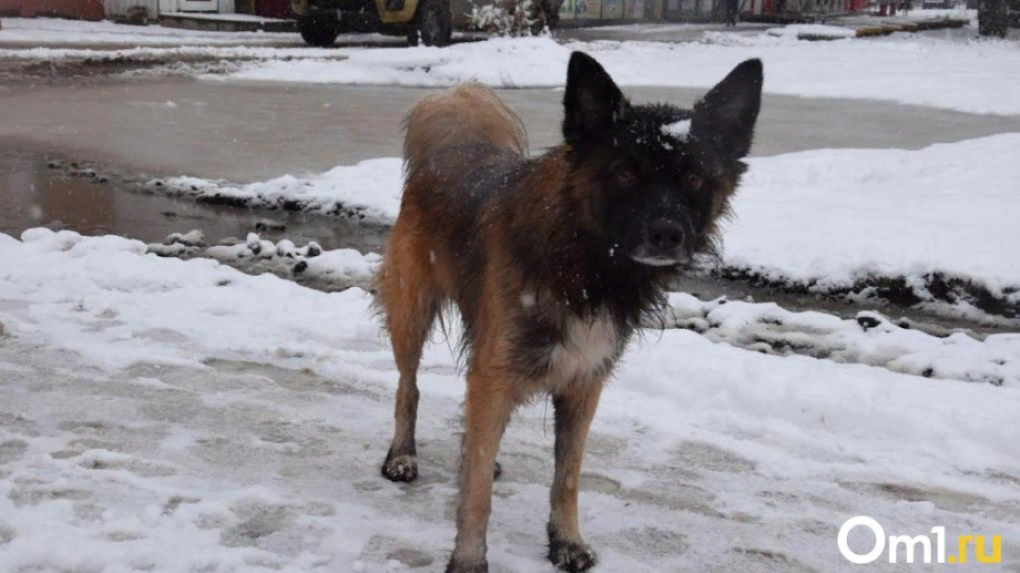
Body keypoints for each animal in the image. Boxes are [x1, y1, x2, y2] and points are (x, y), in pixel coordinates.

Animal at [373, 51, 758, 566]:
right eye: (625, 173)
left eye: (694, 178)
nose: (667, 234)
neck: (588, 263)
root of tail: (452, 150)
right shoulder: (498, 372)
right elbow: (476, 494)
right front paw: (469, 560)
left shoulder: (583, 383)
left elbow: (567, 477)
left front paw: (567, 541)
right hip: (412, 312)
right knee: (408, 386)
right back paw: (402, 454)